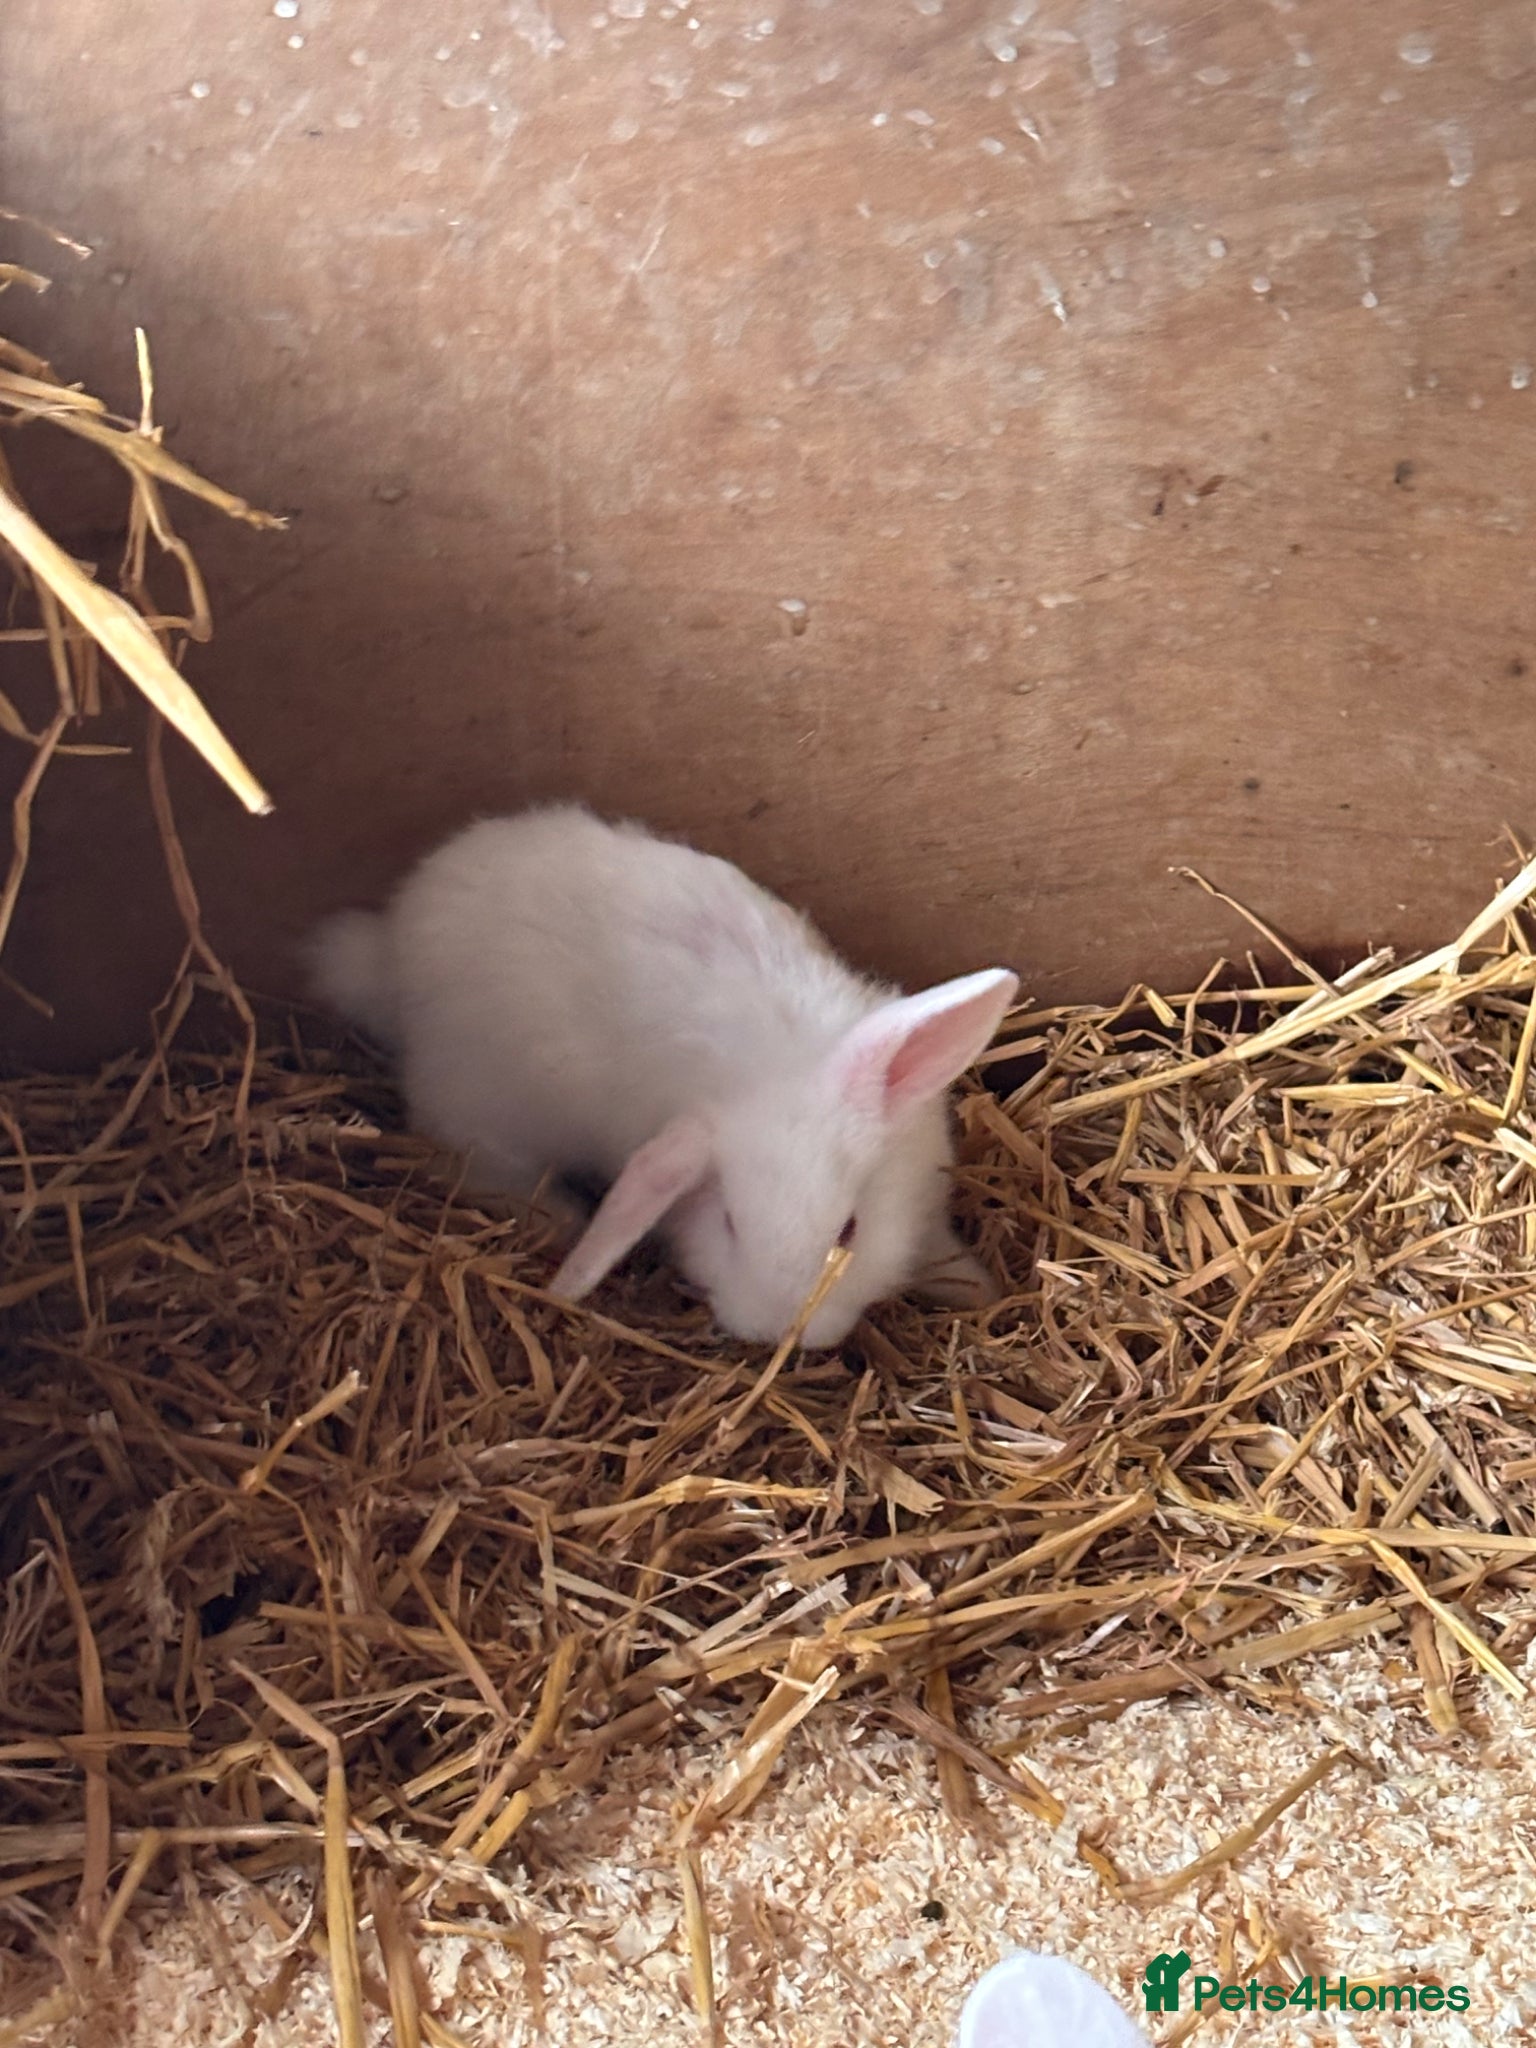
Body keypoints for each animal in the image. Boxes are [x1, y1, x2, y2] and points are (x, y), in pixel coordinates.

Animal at [307, 803, 1018, 1349]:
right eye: (729, 1222)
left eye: (849, 1231)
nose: (780, 1334)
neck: (771, 1065)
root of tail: (388, 953)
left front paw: (976, 1287)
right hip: (480, 1112)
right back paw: (561, 1220)